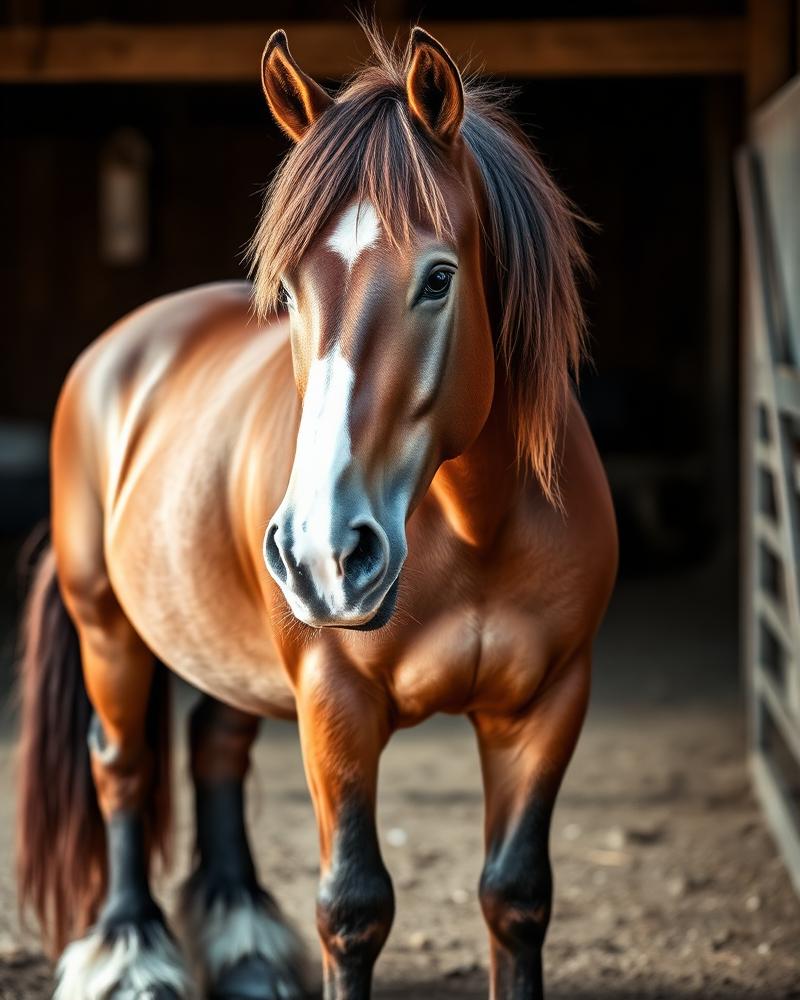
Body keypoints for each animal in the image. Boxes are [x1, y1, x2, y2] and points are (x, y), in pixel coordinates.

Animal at [16, 24, 617, 1000]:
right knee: (126, 768)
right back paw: (133, 952)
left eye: (439, 278)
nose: (324, 556)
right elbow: (353, 908)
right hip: (107, 626)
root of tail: (122, 347)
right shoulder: (335, 703)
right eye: (290, 291)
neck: (476, 526)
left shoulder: (548, 703)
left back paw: (246, 949)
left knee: (213, 751)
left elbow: (517, 897)